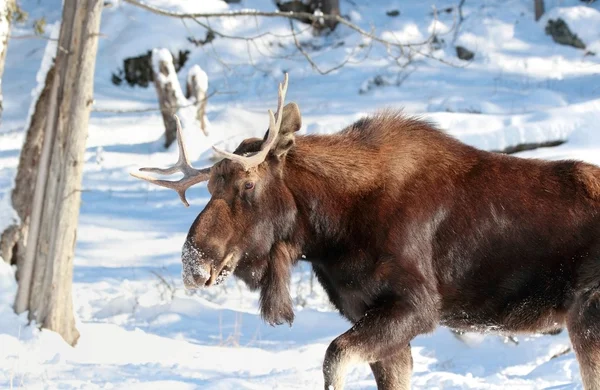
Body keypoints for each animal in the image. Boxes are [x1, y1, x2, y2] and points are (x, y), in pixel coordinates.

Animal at [134, 74, 600, 390]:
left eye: (248, 185)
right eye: (209, 187)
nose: (193, 262)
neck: (331, 231)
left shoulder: (416, 306)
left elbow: (333, 358)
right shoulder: (370, 314)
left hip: (587, 319)